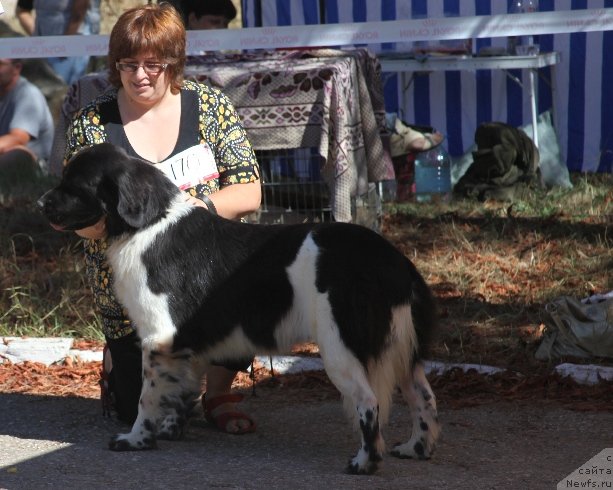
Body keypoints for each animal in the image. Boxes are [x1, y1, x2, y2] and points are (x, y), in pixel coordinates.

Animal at [39, 143, 440, 474]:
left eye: (73, 186)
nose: (41, 203)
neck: (147, 225)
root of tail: (392, 258)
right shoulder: (184, 342)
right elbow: (181, 389)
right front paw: (171, 430)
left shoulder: (158, 337)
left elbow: (148, 397)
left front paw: (137, 440)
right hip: (401, 347)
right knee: (424, 397)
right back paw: (415, 448)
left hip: (341, 347)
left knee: (369, 402)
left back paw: (364, 463)